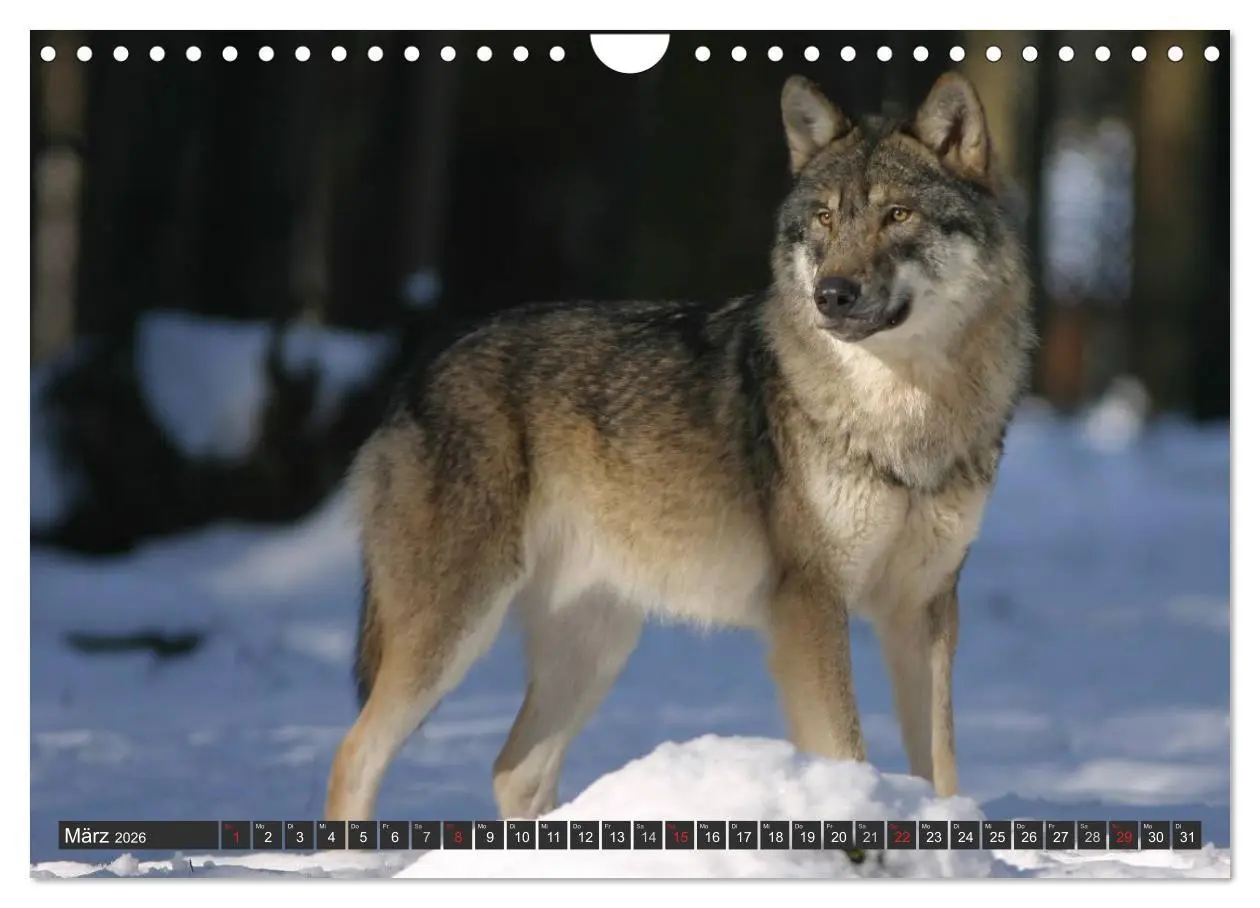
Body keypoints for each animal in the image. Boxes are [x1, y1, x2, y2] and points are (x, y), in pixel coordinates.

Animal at [324, 71, 1034, 822]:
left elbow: (941, 766)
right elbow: (846, 748)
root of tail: (418, 371)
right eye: (824, 219)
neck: (904, 417)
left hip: (596, 645)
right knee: (355, 754)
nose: (831, 295)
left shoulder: (924, 608)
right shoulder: (810, 603)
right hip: (455, 630)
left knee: (514, 769)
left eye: (898, 215)